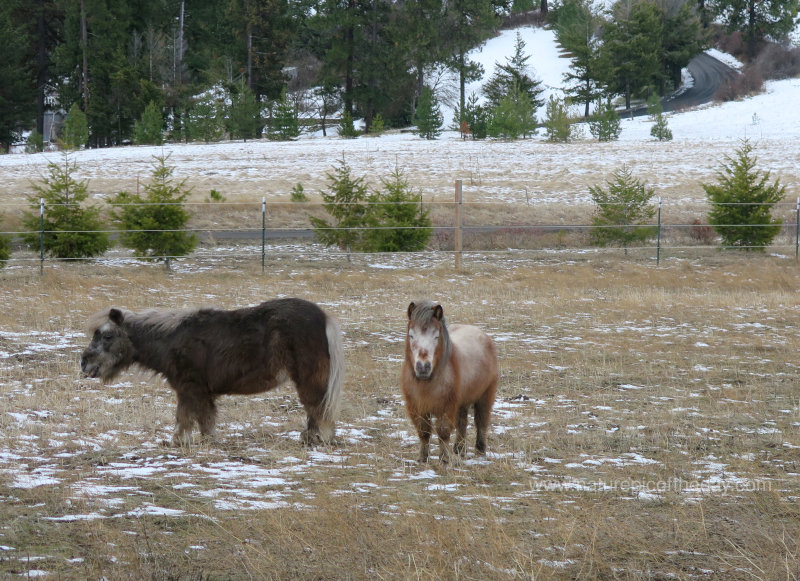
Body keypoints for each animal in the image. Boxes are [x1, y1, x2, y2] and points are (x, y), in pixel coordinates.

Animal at [79, 296, 346, 446]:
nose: (84, 364)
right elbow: (202, 419)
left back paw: (320, 439)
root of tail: (323, 317)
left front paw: (180, 442)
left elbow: (186, 417)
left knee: (317, 407)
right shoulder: (200, 392)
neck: (171, 339)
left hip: (308, 378)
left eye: (107, 336)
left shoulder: (189, 388)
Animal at [404, 300, 496, 462]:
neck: (427, 382)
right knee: (462, 423)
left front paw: (444, 459)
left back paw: (480, 451)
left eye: (436, 336)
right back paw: (459, 449)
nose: (423, 367)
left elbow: (443, 432)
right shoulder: (418, 407)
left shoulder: (447, 407)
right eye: (411, 335)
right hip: (462, 402)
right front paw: (422, 458)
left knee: (481, 422)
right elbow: (424, 432)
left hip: (485, 396)